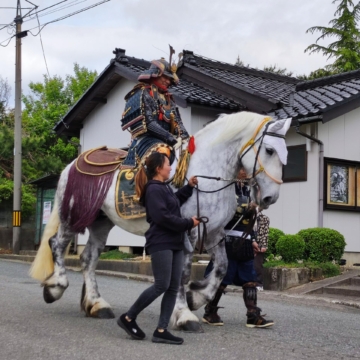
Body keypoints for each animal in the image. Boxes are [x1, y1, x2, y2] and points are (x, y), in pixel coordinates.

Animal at [29, 112, 292, 332]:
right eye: (269, 150)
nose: (270, 198)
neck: (205, 173)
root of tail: (71, 165)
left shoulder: (214, 232)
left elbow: (221, 268)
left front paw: (196, 297)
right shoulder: (188, 230)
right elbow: (182, 274)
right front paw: (185, 315)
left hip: (101, 222)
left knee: (88, 258)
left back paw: (97, 304)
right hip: (74, 214)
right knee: (57, 244)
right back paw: (56, 286)